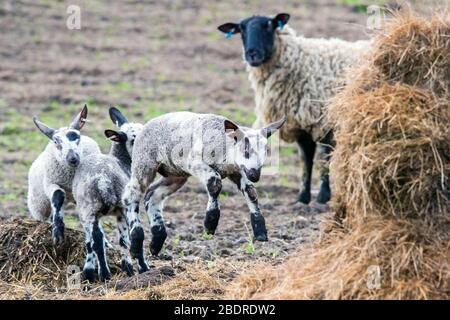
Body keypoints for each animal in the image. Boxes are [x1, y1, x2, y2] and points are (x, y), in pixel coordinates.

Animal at [71, 107, 143, 280]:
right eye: (134, 139)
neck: (121, 160)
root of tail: (103, 181)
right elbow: (127, 238)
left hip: (89, 209)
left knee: (96, 240)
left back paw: (97, 274)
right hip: (120, 207)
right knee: (129, 236)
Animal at [121, 110, 286, 272]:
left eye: (266, 152)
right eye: (246, 150)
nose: (255, 175)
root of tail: (143, 128)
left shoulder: (237, 170)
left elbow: (251, 192)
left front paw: (260, 231)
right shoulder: (195, 162)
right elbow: (215, 182)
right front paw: (210, 223)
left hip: (176, 173)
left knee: (152, 195)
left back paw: (156, 242)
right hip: (144, 163)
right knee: (131, 195)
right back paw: (137, 244)